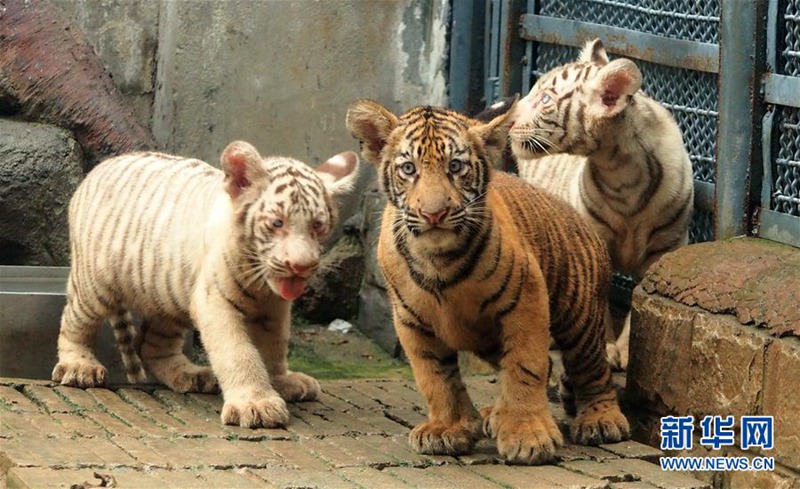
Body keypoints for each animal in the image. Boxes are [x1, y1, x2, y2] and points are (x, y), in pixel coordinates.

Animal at [52, 141, 359, 428]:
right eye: (276, 223)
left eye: (317, 225)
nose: (302, 265)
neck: (260, 283)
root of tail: (97, 170)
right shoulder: (215, 301)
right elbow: (238, 351)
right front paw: (255, 405)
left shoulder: (274, 308)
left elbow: (275, 345)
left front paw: (281, 381)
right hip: (94, 285)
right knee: (74, 322)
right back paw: (78, 366)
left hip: (168, 296)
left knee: (152, 347)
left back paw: (192, 375)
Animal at [346, 100, 629, 465]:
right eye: (408, 168)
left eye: (455, 166)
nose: (434, 214)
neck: (439, 261)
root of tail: (577, 216)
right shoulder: (411, 321)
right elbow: (435, 377)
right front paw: (449, 428)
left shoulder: (527, 301)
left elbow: (524, 367)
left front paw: (527, 436)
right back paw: (494, 415)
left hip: (579, 318)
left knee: (593, 369)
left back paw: (600, 421)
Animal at [507, 39, 694, 370]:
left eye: (546, 99)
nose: (507, 120)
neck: (622, 173)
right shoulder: (593, 239)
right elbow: (596, 296)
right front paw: (605, 348)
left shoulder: (665, 247)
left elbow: (641, 298)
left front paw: (628, 350)